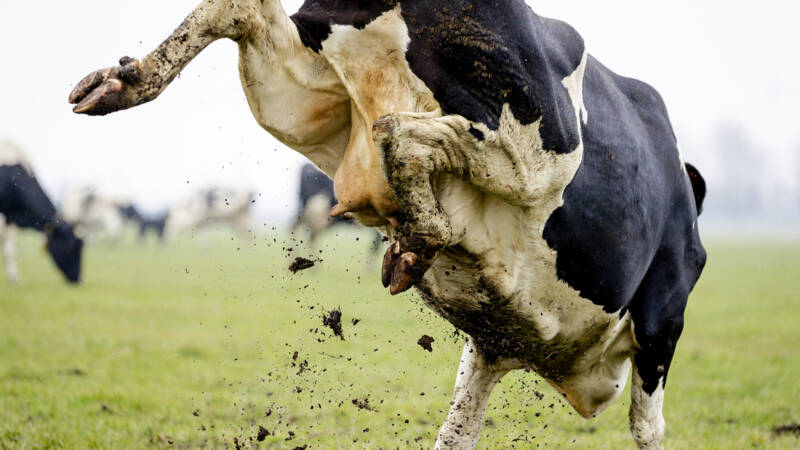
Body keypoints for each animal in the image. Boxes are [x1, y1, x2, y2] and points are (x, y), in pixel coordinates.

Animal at [69, 1, 706, 448]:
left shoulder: (493, 343)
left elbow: (457, 432)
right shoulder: (662, 320)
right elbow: (649, 428)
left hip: (298, 89)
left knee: (242, 12)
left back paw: (120, 83)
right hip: (534, 149)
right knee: (406, 133)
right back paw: (423, 236)